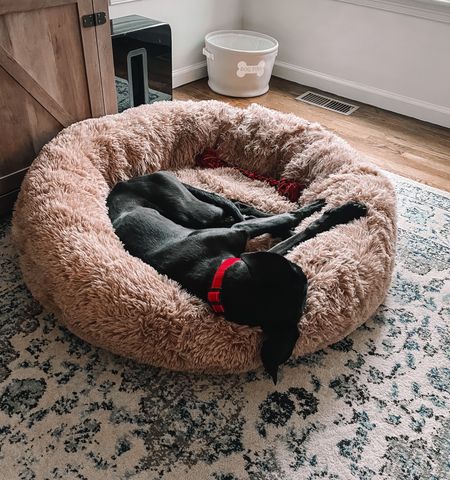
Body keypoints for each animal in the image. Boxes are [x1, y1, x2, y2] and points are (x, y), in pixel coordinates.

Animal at [107, 172, 368, 382]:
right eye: (299, 273)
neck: (215, 280)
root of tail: (125, 182)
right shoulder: (241, 236)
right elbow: (294, 222)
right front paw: (340, 212)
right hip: (197, 211)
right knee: (236, 212)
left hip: (197, 212)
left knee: (236, 207)